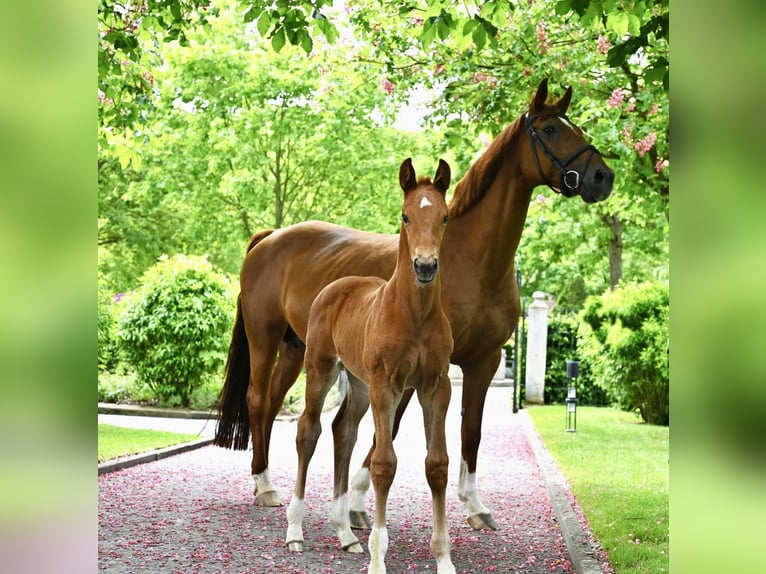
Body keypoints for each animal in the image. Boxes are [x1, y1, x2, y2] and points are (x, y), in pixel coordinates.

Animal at [216, 79, 616, 532]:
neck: (469, 259)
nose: (602, 176)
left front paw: (474, 505)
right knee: (256, 400)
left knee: (273, 406)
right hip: (264, 340)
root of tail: (269, 237)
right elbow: (388, 429)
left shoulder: (483, 361)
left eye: (576, 126)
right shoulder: (411, 370)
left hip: (298, 349)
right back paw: (265, 486)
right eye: (549, 129)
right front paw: (358, 502)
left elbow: (470, 431)